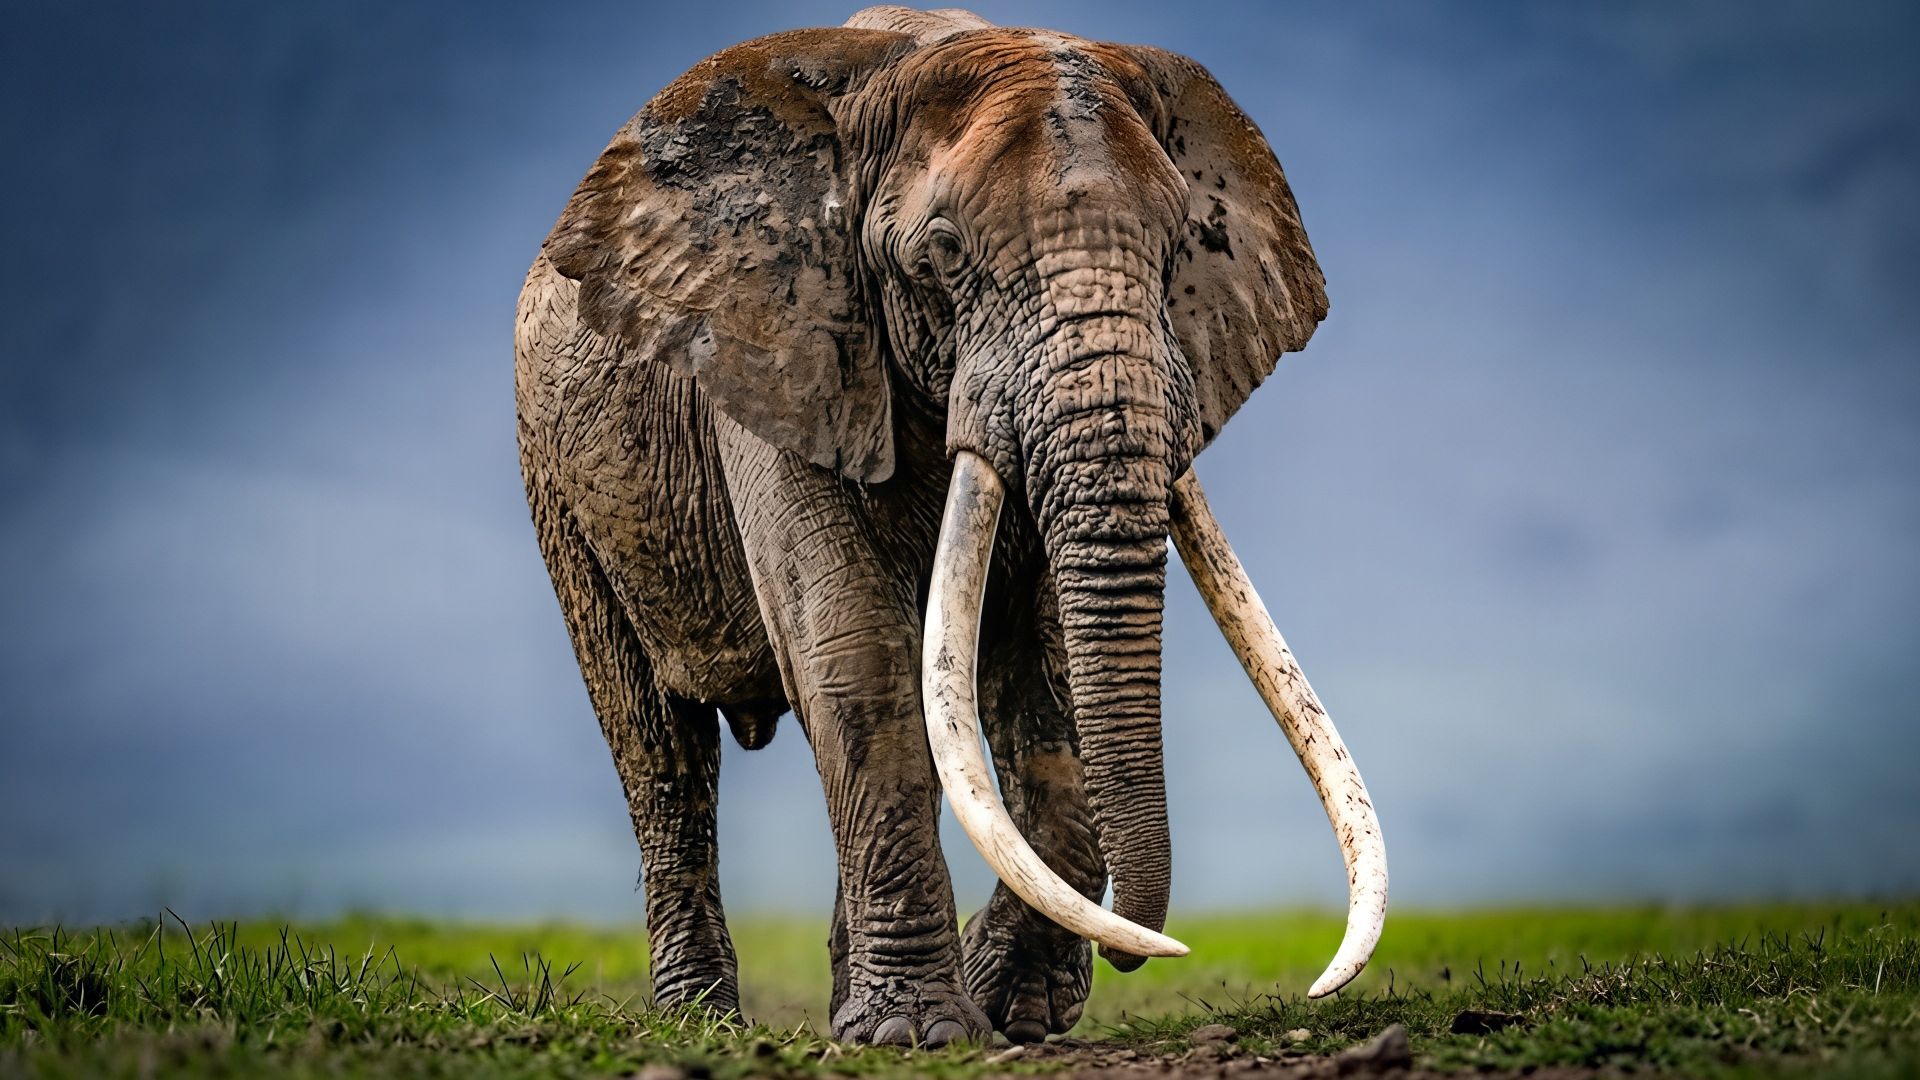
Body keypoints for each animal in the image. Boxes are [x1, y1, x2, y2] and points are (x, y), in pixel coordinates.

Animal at [515, 5, 1387, 1046]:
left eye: (1181, 246)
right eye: (942, 258)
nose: (1147, 953)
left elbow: (1044, 670)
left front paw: (1010, 1009)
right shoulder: (781, 342)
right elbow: (853, 649)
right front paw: (917, 1035)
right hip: (558, 481)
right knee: (660, 748)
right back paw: (704, 1022)